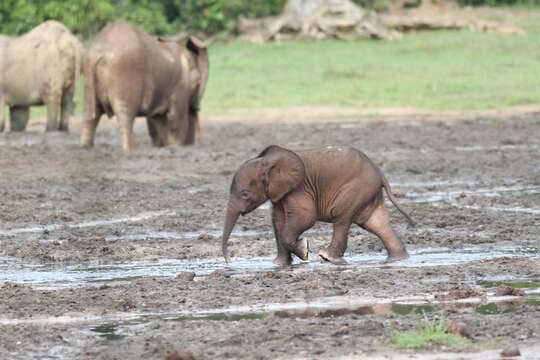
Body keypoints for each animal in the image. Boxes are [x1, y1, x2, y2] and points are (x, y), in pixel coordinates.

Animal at [221, 145, 416, 266]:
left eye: (244, 194)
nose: (229, 262)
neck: (269, 162)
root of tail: (379, 172)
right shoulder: (280, 194)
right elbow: (278, 222)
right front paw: (279, 264)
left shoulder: (299, 189)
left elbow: (306, 218)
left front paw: (304, 250)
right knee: (377, 224)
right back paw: (399, 259)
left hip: (357, 189)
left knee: (342, 216)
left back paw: (327, 257)